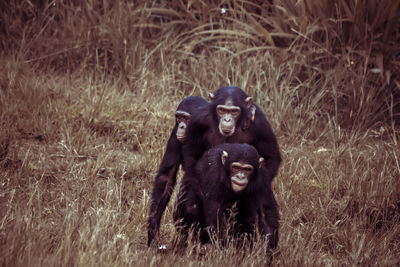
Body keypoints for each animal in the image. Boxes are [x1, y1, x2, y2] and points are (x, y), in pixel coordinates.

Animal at [148, 96, 209, 247]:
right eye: (179, 118)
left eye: (186, 118)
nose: (181, 126)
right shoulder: (174, 132)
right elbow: (167, 176)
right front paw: (153, 228)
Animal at [181, 86, 282, 253]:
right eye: (222, 110)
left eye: (234, 111)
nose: (227, 119)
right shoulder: (198, 120)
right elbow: (190, 153)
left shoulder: (260, 123)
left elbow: (271, 158)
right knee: (192, 206)